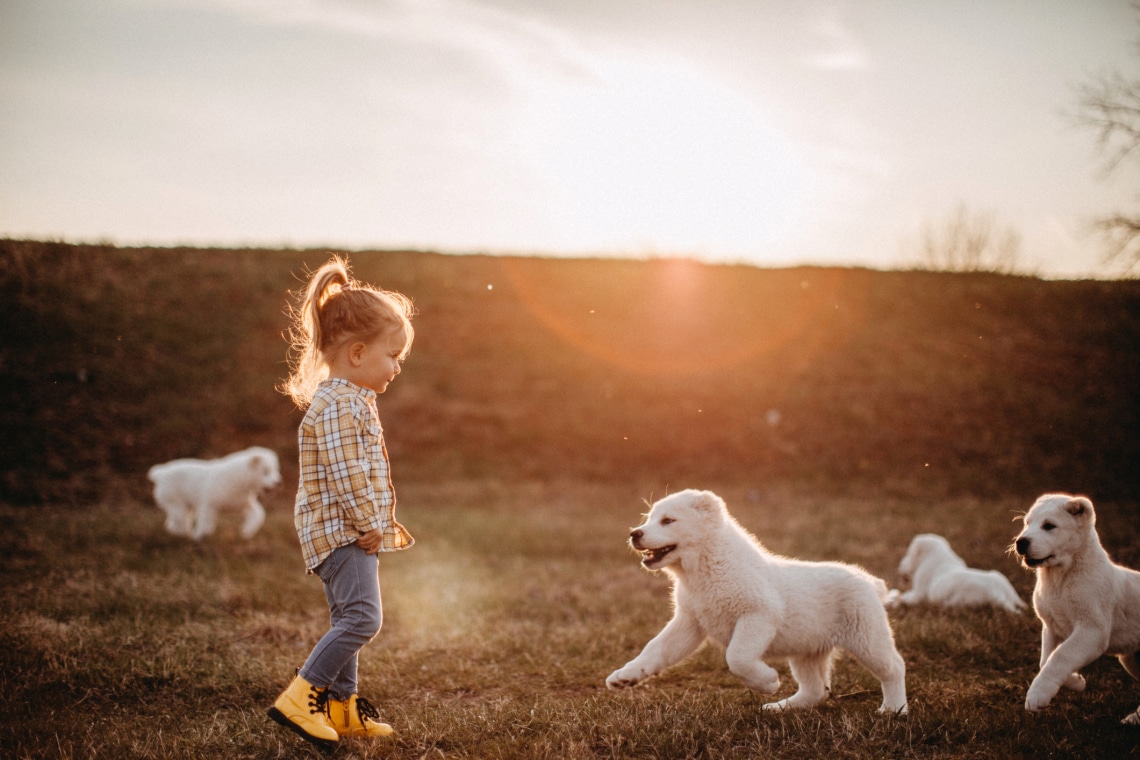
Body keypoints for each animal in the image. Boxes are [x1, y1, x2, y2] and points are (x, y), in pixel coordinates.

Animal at [148, 446, 281, 540]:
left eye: (275, 470)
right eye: (265, 471)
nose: (278, 482)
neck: (240, 479)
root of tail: (160, 473)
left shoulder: (241, 503)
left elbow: (258, 514)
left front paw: (247, 531)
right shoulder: (209, 504)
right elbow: (205, 521)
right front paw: (200, 537)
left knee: (176, 519)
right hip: (174, 497)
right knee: (180, 518)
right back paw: (186, 535)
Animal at [606, 489, 907, 715]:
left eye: (668, 520)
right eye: (649, 518)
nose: (635, 533)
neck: (707, 567)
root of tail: (868, 580)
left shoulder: (758, 613)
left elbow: (736, 657)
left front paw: (768, 682)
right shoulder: (690, 622)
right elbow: (655, 649)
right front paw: (625, 676)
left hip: (866, 635)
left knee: (893, 667)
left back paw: (893, 709)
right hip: (807, 649)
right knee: (815, 689)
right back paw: (781, 708)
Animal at [889, 533, 1035, 615]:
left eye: (909, 553)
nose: (899, 566)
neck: (938, 553)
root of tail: (998, 594)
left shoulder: (919, 593)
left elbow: (908, 595)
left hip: (957, 601)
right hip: (1001, 579)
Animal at [1016, 494, 1140, 724]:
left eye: (1049, 526)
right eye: (1027, 523)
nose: (1021, 542)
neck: (1058, 579)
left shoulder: (1092, 630)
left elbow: (1060, 656)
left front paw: (1037, 695)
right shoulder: (1052, 627)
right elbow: (1046, 660)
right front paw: (1076, 681)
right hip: (1130, 659)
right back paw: (1134, 719)